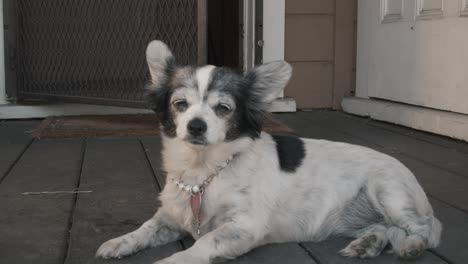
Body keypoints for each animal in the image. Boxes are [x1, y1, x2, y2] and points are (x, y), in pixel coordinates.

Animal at [96, 40, 442, 262]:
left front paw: (173, 260)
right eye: (180, 104)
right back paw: (367, 244)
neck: (203, 173)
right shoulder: (170, 216)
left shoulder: (243, 227)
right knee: (385, 228)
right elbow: (144, 228)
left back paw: (412, 245)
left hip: (388, 191)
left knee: (423, 229)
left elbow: (203, 243)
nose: (195, 126)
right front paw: (119, 241)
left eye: (223, 108)